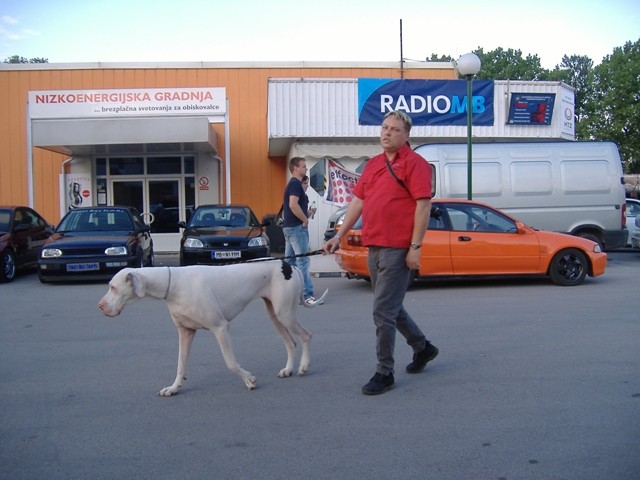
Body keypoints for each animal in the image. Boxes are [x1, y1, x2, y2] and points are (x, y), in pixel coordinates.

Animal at [97, 260, 328, 396]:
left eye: (113, 287)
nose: (100, 306)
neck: (173, 285)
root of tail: (289, 263)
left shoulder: (220, 328)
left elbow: (231, 363)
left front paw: (249, 380)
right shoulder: (186, 332)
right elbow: (180, 366)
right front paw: (173, 388)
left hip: (284, 314)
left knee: (306, 336)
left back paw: (303, 367)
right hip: (275, 315)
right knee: (291, 342)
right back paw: (288, 369)